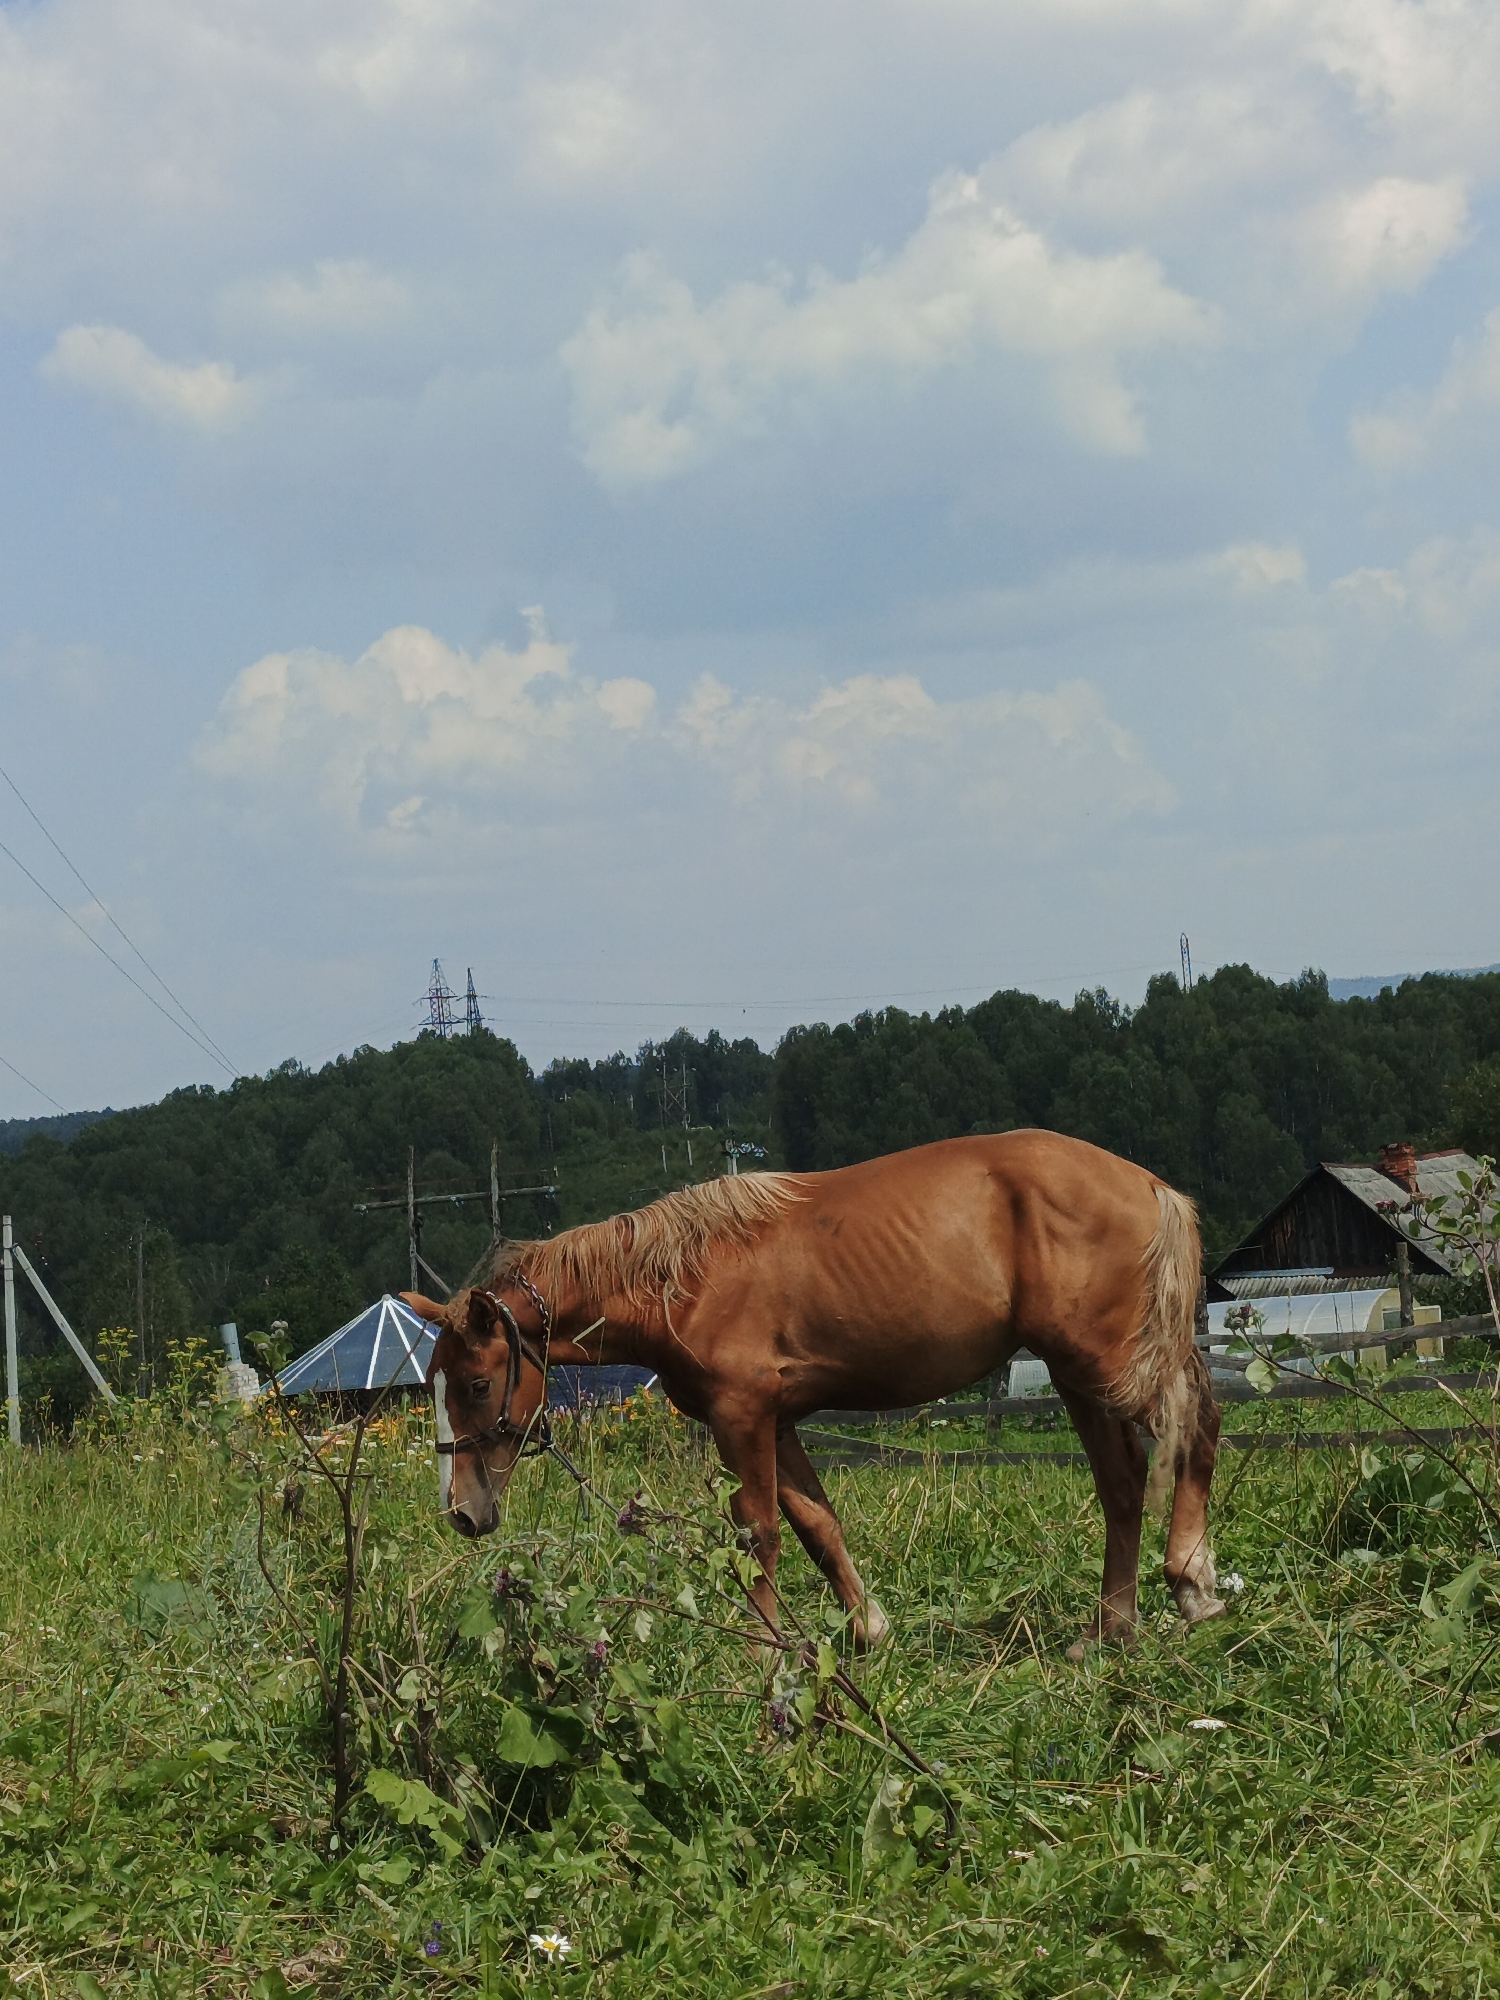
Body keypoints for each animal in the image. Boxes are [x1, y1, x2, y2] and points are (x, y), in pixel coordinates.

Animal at [403, 1130, 1224, 1659]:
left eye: (477, 1384)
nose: (461, 1512)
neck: (683, 1279)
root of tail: (1150, 1184)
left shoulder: (740, 1418)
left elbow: (757, 1535)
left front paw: (765, 1652)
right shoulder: (779, 1422)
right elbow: (817, 1527)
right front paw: (868, 1630)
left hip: (1108, 1364)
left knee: (1191, 1436)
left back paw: (1188, 1582)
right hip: (1082, 1375)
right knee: (1124, 1480)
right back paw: (1112, 1627)